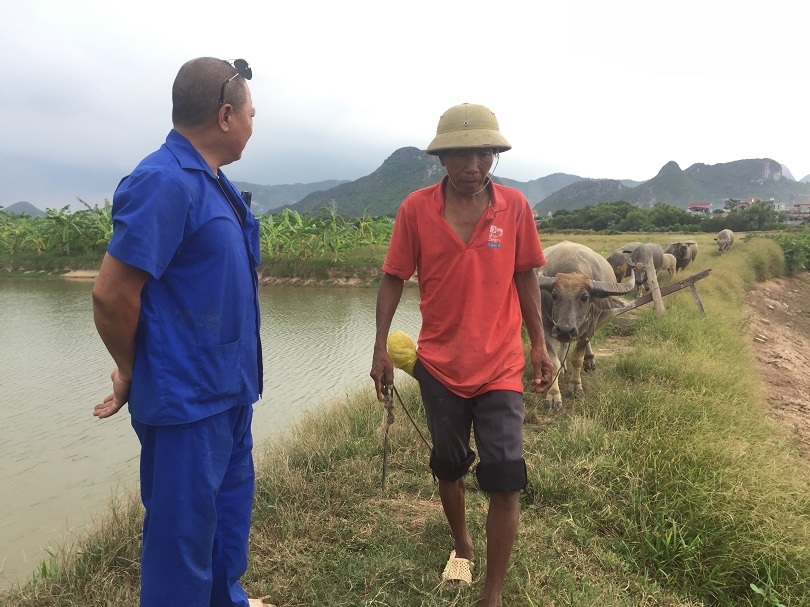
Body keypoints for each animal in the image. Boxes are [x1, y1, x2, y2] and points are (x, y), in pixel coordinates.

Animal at [532, 245, 636, 410]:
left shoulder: (588, 331)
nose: (565, 329)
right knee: (564, 345)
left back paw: (589, 361)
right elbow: (553, 362)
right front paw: (553, 395)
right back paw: (563, 366)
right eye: (554, 295)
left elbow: (577, 359)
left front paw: (575, 388)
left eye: (585, 297)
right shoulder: (547, 330)